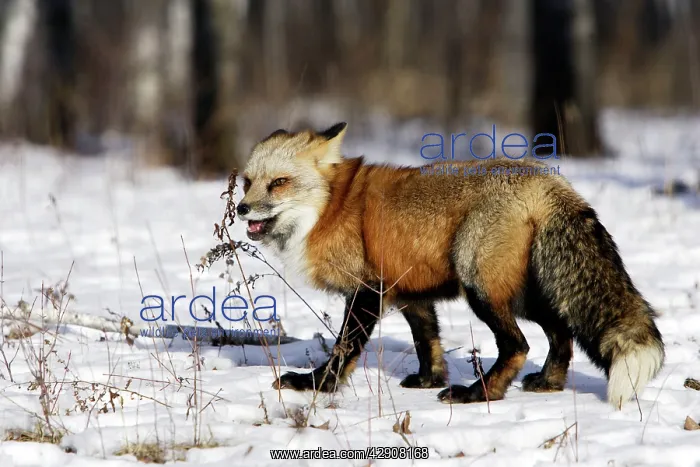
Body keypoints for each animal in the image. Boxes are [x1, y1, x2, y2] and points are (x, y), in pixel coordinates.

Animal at [236, 122, 665, 409]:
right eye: (246, 182)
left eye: (279, 182)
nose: (241, 209)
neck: (329, 209)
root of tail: (545, 179)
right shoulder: (408, 292)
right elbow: (427, 341)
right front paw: (429, 380)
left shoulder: (366, 291)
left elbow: (344, 348)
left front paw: (318, 385)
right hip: (524, 293)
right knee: (561, 332)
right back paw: (547, 383)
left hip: (481, 287)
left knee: (518, 345)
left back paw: (479, 393)